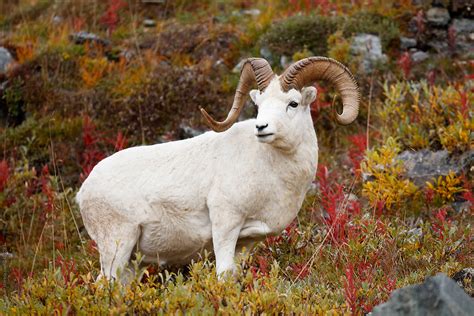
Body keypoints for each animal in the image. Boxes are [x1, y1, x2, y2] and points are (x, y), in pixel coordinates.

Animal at [77, 56, 360, 282]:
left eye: (293, 103)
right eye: (259, 104)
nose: (262, 127)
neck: (272, 174)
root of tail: (84, 192)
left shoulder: (246, 242)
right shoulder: (225, 225)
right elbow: (224, 275)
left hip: (132, 262)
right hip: (117, 247)